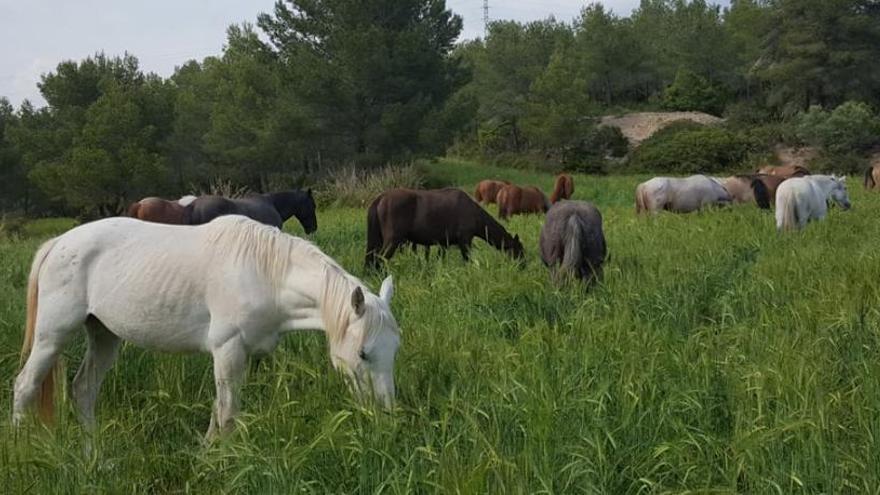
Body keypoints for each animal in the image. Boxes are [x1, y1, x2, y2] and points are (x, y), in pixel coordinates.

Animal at [13, 216, 400, 438]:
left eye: (394, 350)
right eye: (363, 354)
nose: (386, 414)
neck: (264, 273)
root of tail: (58, 243)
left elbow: (219, 411)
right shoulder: (228, 349)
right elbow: (227, 414)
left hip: (104, 336)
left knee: (84, 390)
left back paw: (94, 454)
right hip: (52, 336)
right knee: (25, 386)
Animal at [364, 189, 524, 268]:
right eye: (519, 251)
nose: (523, 266)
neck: (473, 211)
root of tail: (381, 197)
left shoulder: (443, 244)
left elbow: (440, 260)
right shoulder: (465, 241)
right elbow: (467, 260)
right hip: (392, 241)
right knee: (380, 259)